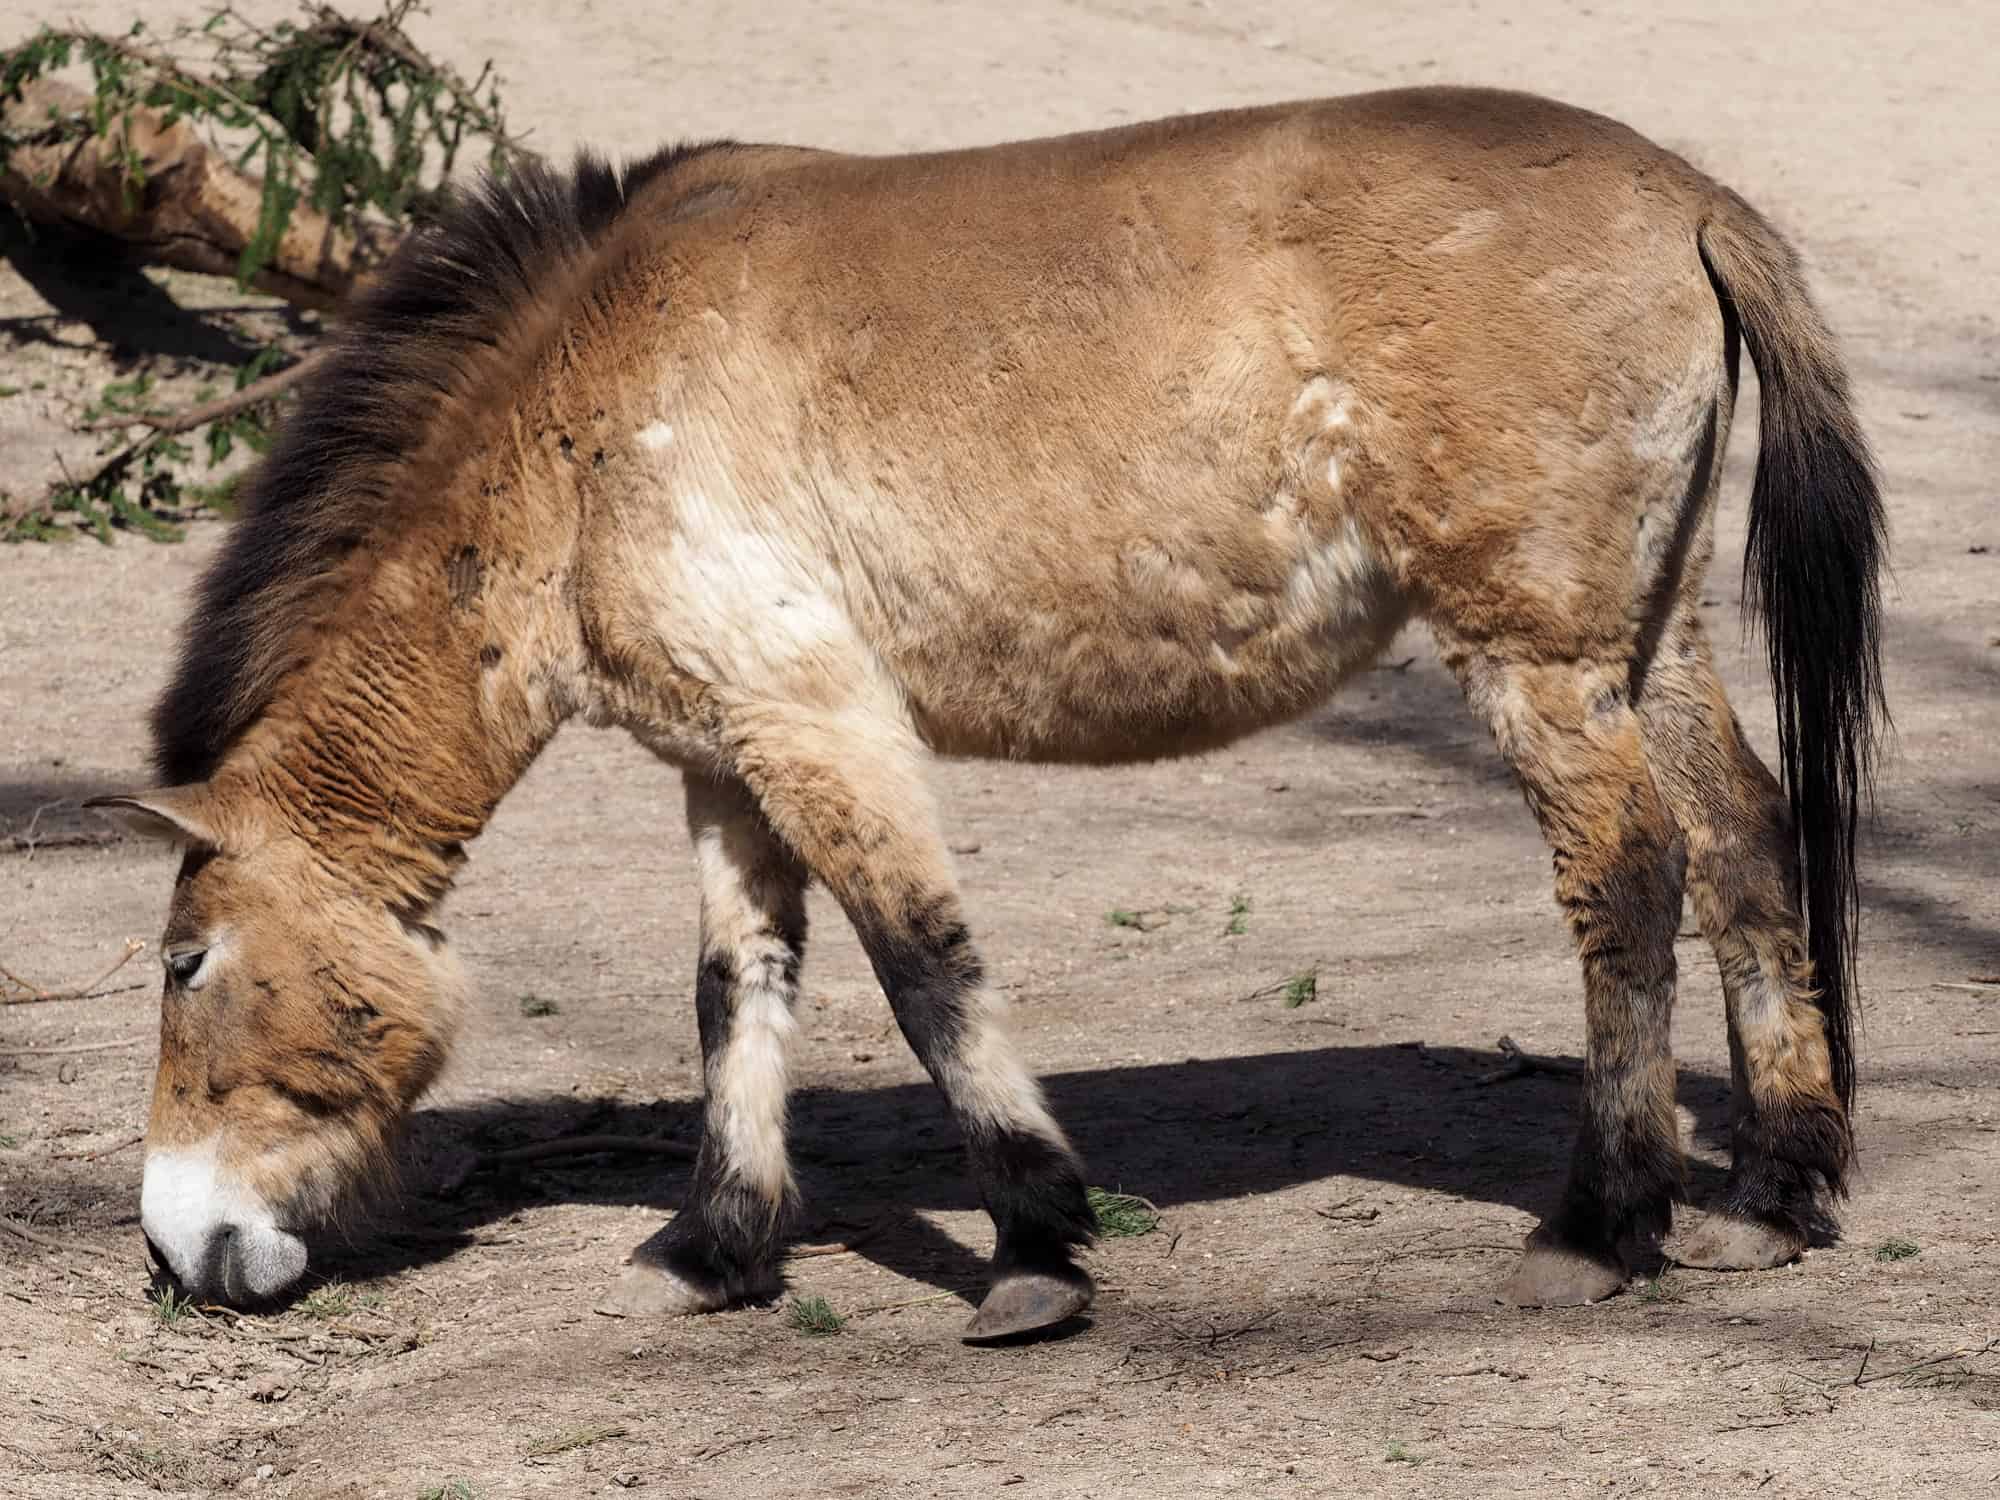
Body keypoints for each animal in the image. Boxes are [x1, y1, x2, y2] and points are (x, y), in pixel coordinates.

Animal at [94, 88, 1880, 1344]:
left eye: (188, 965)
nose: (179, 1247)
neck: (583, 416)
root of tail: (1687, 198)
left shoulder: (824, 733)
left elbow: (923, 968)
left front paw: (1035, 1245)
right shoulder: (727, 761)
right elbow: (738, 995)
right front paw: (715, 1251)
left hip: (1542, 659)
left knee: (1630, 880)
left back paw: (1601, 1226)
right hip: (1648, 645)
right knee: (1745, 845)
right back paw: (1773, 1195)